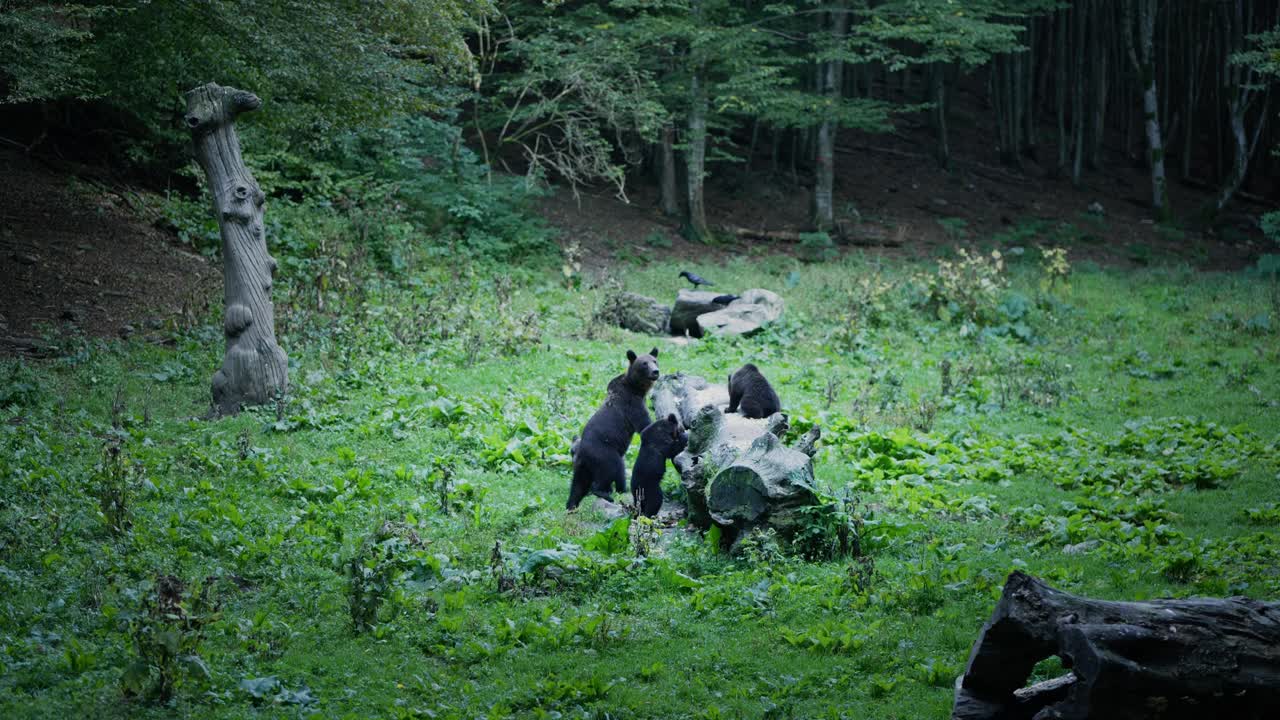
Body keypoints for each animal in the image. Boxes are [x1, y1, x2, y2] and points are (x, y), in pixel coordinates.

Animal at [567, 347, 661, 510]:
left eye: (654, 360)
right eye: (644, 363)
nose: (655, 372)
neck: (637, 388)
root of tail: (581, 454)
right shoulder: (632, 405)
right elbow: (645, 426)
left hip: (582, 466)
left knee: (578, 485)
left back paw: (572, 505)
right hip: (603, 452)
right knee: (613, 468)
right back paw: (606, 492)